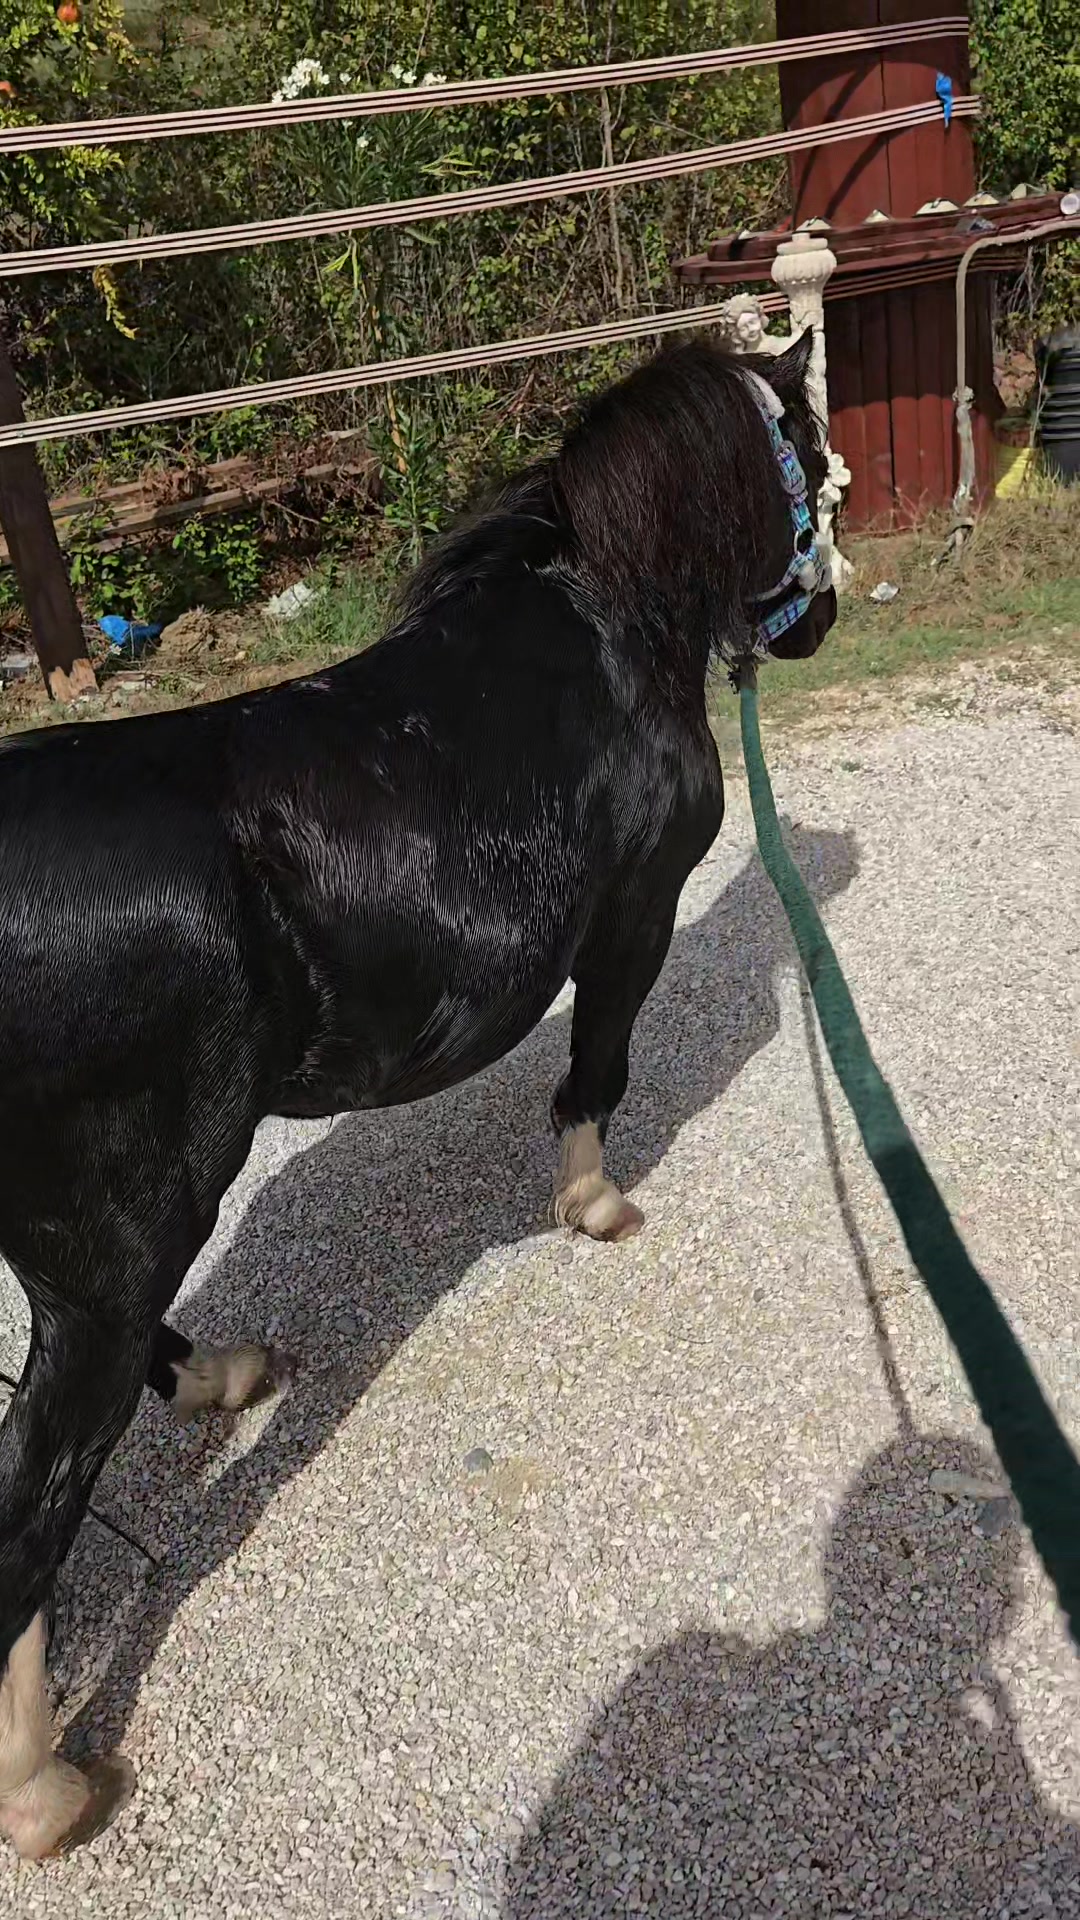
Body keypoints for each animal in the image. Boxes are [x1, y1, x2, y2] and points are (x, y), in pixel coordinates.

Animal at [0, 330, 835, 1859]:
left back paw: (226, 1376)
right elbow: (599, 1065)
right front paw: (595, 1205)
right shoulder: (634, 917)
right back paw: (46, 1794)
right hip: (120, 1236)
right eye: (805, 441)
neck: (598, 627)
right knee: (33, 1502)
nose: (820, 619)